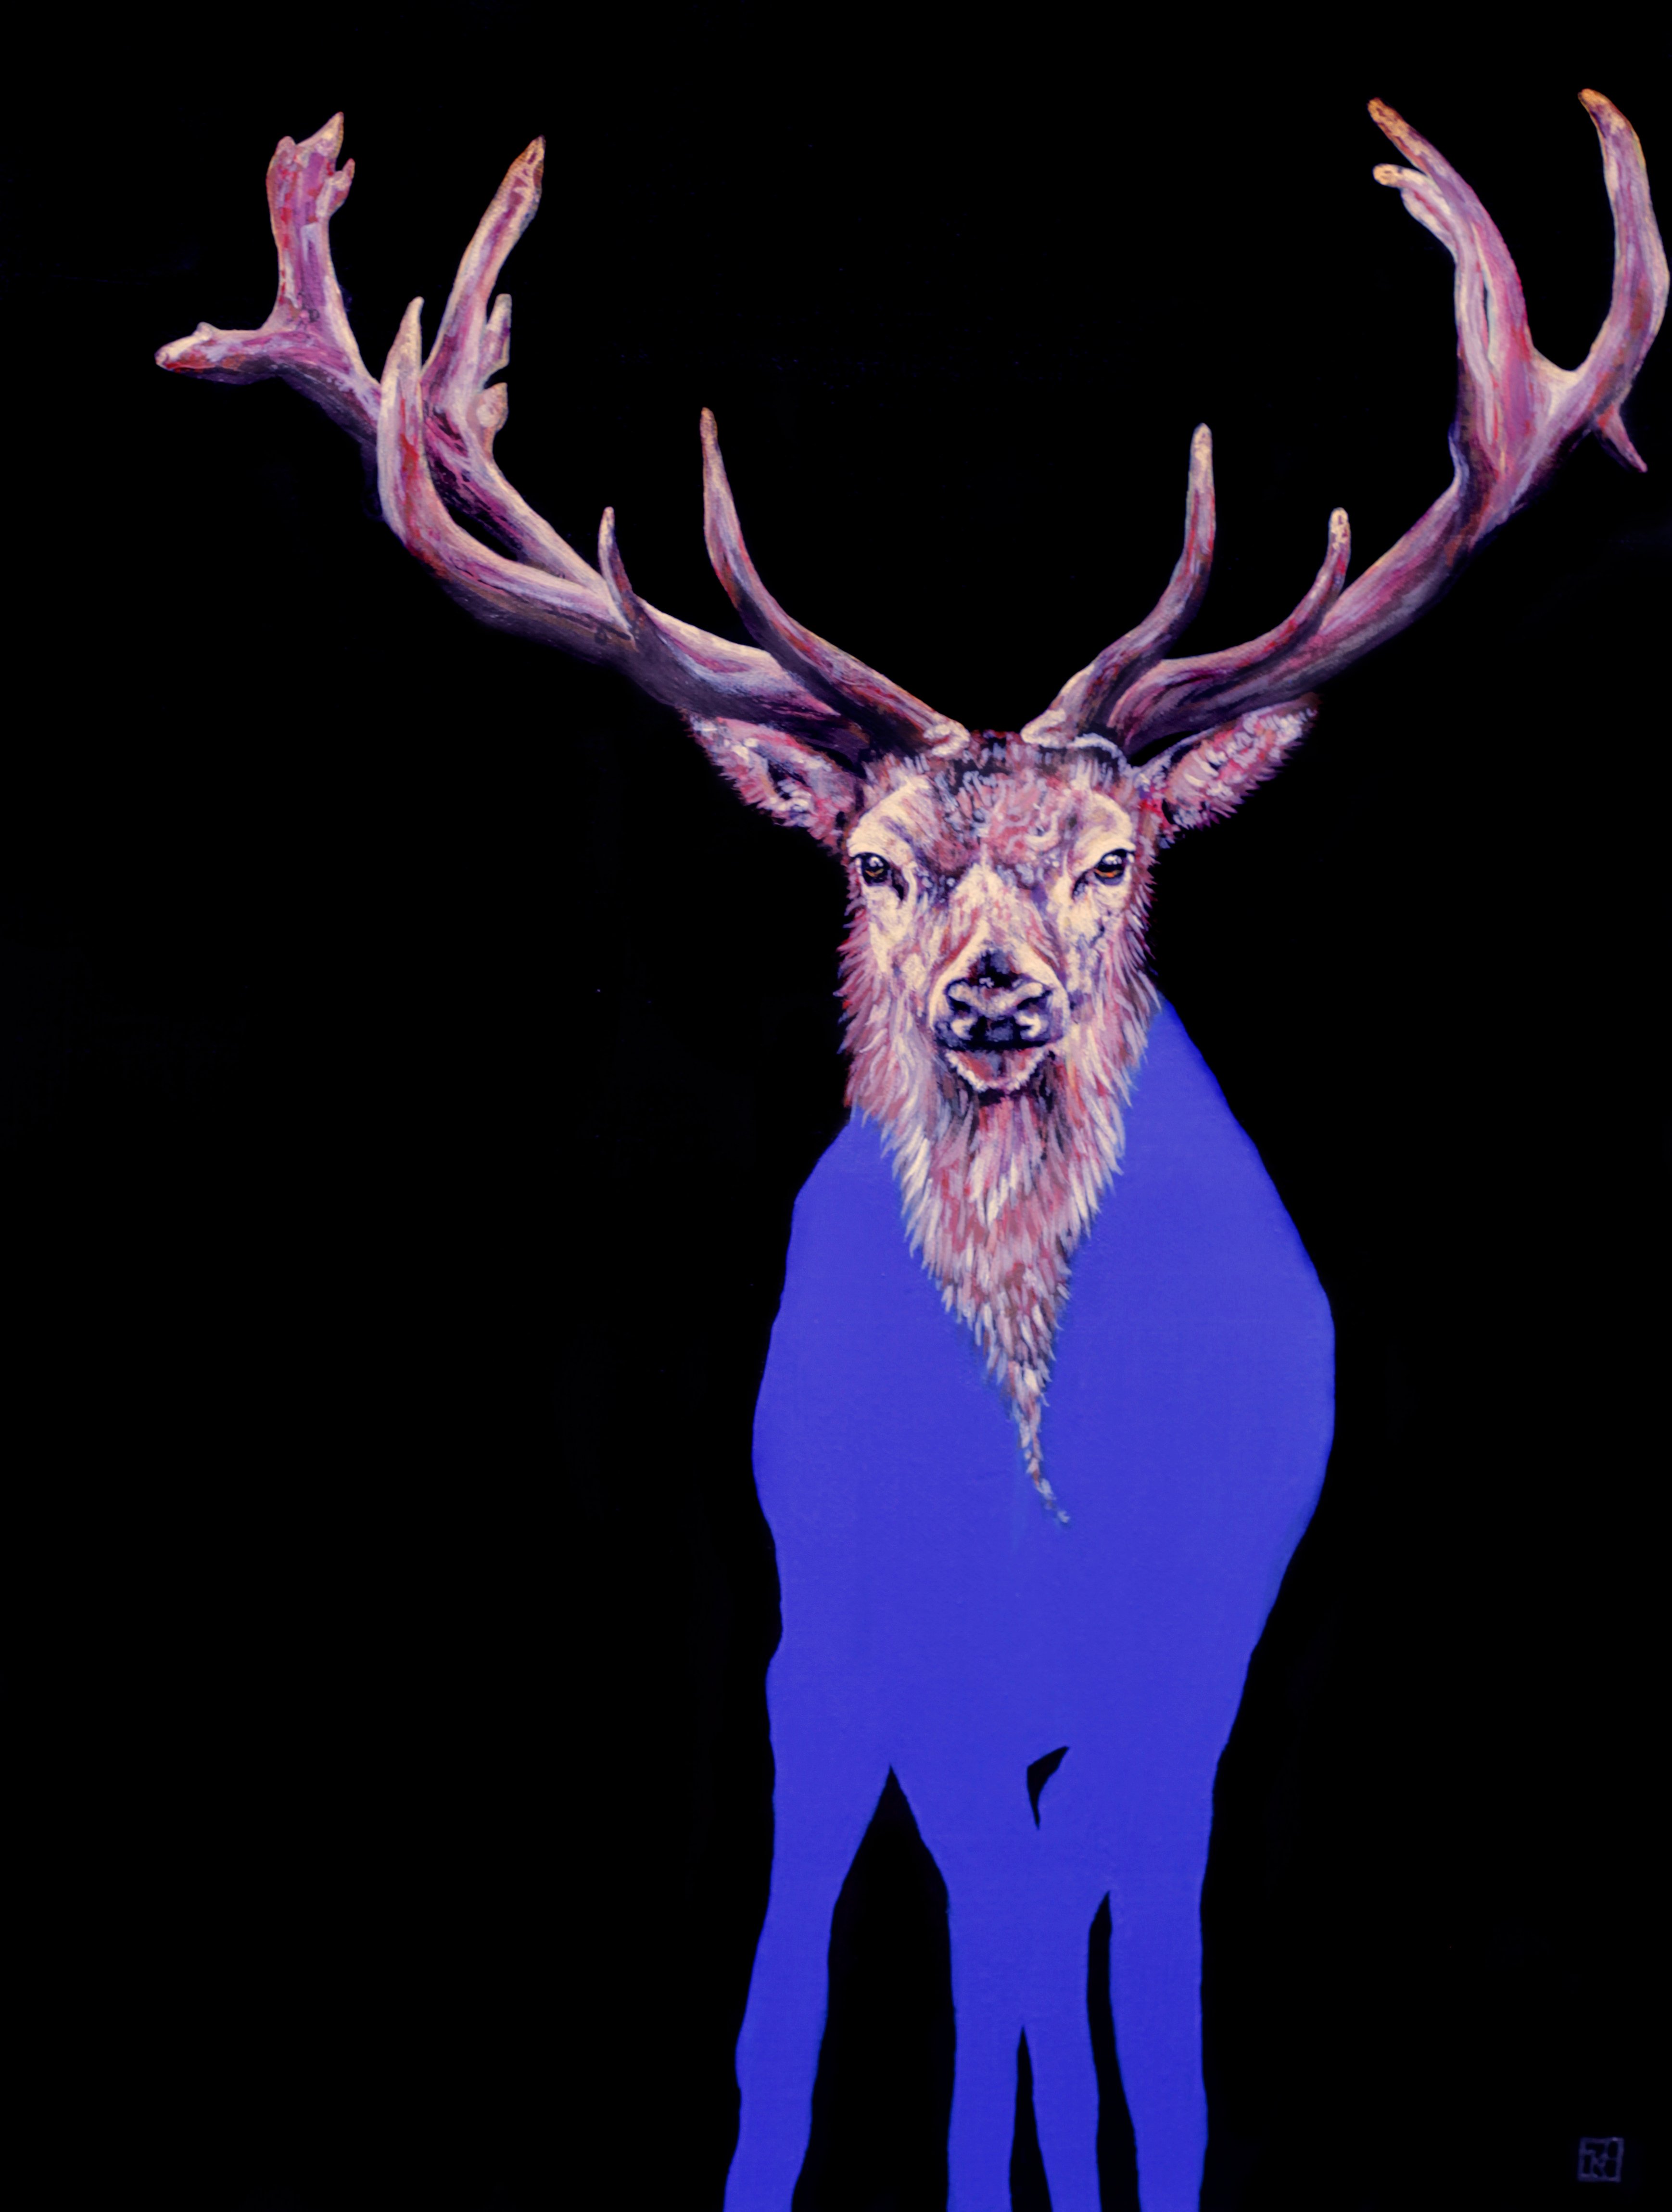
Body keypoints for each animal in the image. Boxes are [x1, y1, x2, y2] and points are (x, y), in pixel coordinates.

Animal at [158, 92, 1663, 2212]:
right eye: (874, 865)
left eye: (1113, 859)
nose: (993, 992)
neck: (1038, 1473)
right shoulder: (902, 1632)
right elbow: (986, 1958)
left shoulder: (1204, 1632)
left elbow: (1144, 2003)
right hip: (819, 1640)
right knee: (832, 1960)